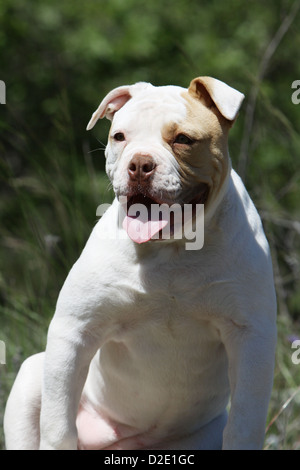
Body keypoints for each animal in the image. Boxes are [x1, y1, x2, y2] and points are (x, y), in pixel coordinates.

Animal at [4, 77, 276, 452]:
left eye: (183, 139)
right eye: (119, 136)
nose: (140, 164)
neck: (171, 249)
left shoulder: (252, 336)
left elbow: (245, 424)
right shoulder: (74, 330)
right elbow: (58, 426)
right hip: (32, 375)